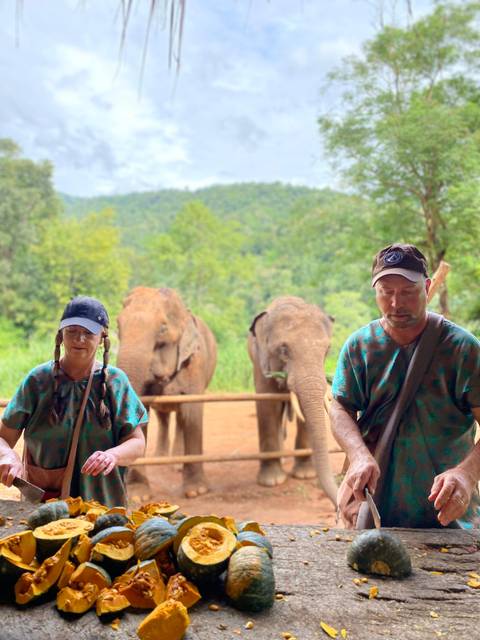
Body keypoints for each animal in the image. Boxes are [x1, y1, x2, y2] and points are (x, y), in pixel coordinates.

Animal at [116, 287, 217, 498]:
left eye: (162, 329)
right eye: (118, 325)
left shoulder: (195, 364)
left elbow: (192, 412)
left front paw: (196, 491)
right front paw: (138, 495)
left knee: (180, 417)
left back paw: (176, 464)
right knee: (164, 418)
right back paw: (161, 458)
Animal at [247, 296, 338, 508]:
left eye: (327, 350)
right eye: (283, 349)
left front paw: (304, 475)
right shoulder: (261, 362)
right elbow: (267, 404)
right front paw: (271, 481)